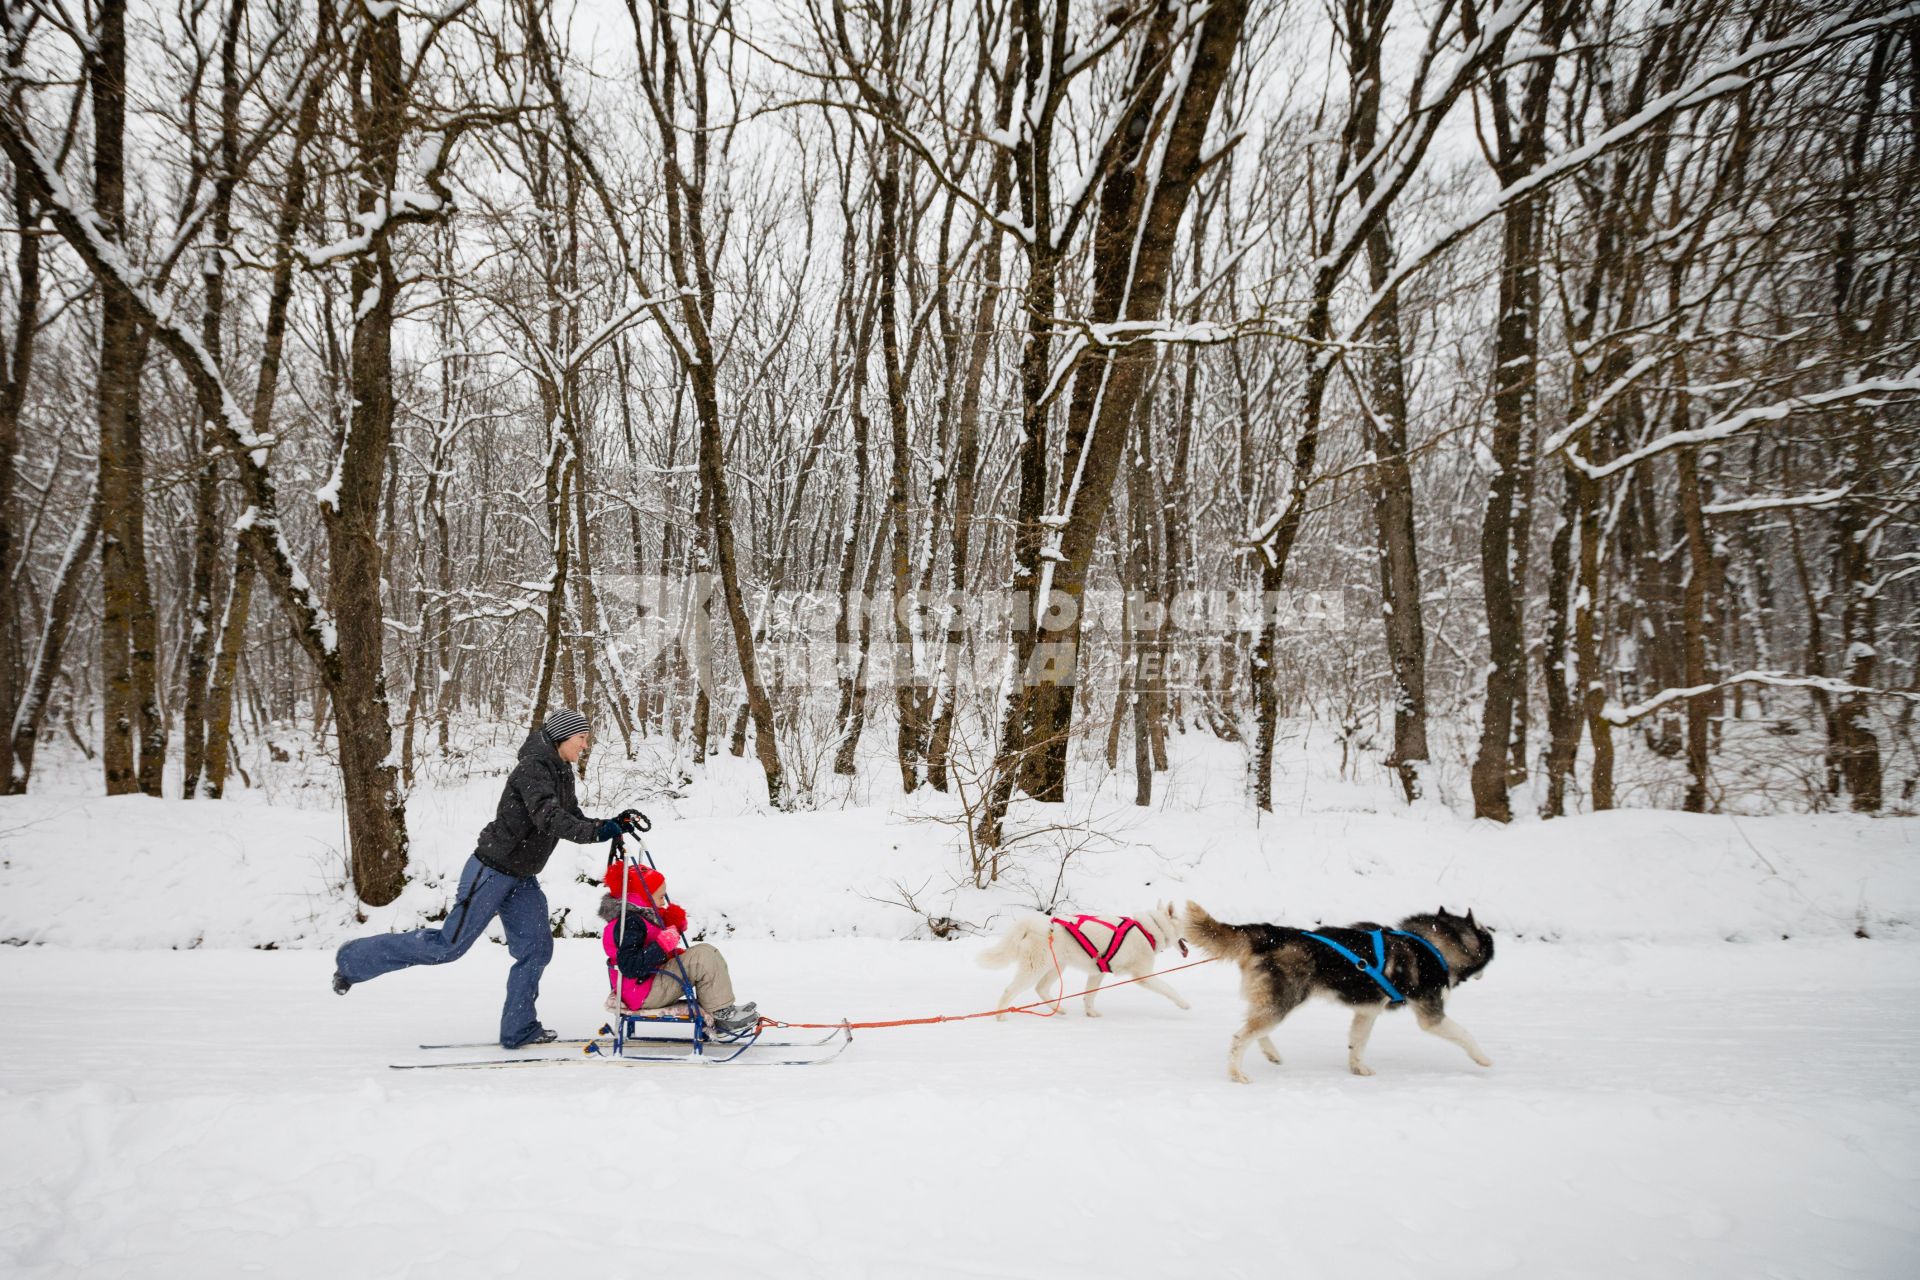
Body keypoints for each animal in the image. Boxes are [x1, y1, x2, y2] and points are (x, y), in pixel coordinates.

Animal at [983, 909, 1190, 1020]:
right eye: (1185, 923)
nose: (1195, 929)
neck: (1149, 929)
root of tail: (1034, 925)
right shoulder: (1143, 975)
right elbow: (1168, 989)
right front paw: (1184, 1004)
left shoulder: (1097, 973)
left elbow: (1089, 996)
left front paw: (1091, 1013)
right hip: (1035, 969)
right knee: (1010, 990)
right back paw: (1000, 1015)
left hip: (1056, 967)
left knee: (1041, 989)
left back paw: (1059, 1009)